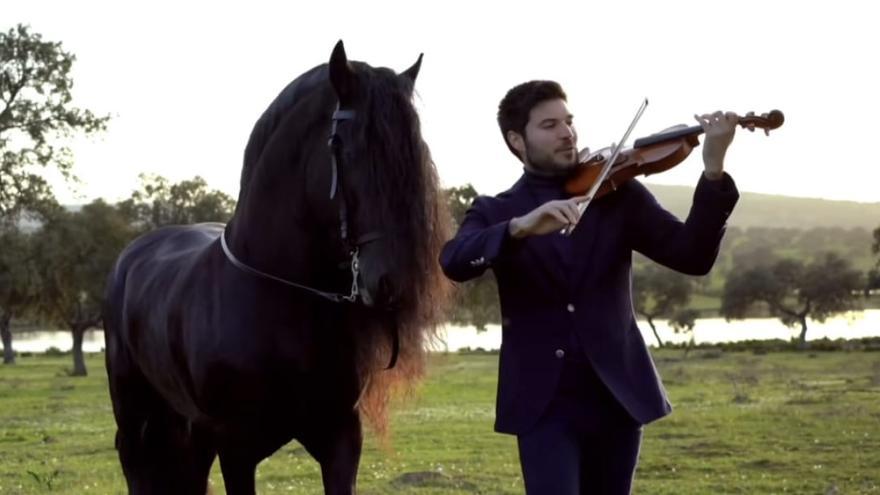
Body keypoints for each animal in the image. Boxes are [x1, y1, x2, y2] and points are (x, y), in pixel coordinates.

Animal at [104, 40, 450, 494]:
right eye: (346, 147)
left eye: (415, 150)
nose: (397, 284)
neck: (282, 304)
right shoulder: (236, 449)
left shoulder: (340, 440)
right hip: (136, 422)